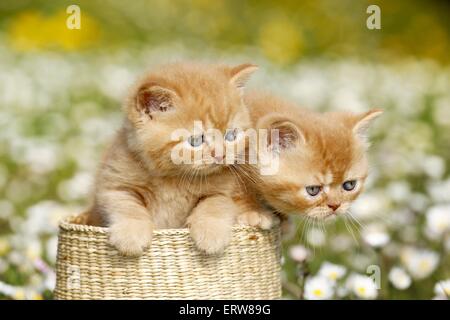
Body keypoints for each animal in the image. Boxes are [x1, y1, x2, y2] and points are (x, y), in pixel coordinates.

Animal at [87, 63, 256, 258]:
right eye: (196, 140)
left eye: (231, 136)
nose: (220, 155)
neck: (174, 179)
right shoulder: (113, 184)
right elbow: (127, 205)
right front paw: (131, 236)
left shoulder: (226, 190)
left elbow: (214, 202)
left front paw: (211, 234)